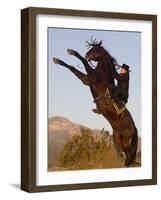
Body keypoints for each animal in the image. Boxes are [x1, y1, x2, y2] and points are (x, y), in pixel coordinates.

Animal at [53, 38, 138, 166]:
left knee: (129, 159)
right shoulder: (86, 80)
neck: (103, 72)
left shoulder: (91, 77)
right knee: (126, 158)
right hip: (119, 141)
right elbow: (72, 68)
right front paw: (57, 60)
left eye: (95, 49)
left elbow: (81, 63)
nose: (87, 55)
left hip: (127, 143)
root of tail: (135, 130)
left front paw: (72, 52)